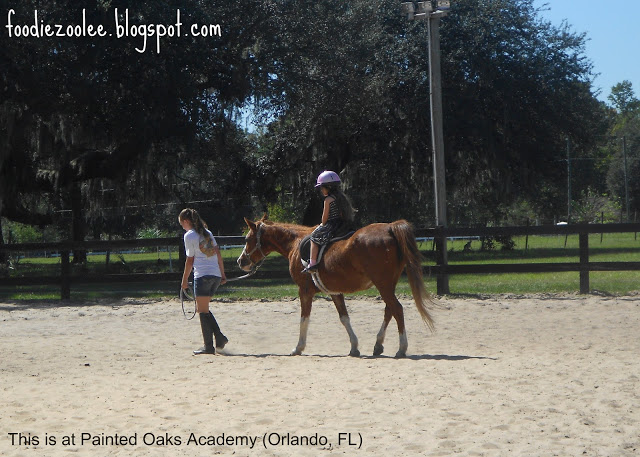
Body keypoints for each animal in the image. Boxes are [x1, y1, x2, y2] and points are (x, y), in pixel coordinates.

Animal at [238, 216, 438, 358]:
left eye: (247, 239)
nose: (241, 261)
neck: (295, 243)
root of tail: (390, 227)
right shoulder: (334, 292)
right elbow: (344, 318)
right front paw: (354, 347)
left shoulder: (305, 291)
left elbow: (304, 319)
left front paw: (298, 347)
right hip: (388, 284)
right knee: (390, 310)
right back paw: (378, 344)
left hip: (383, 284)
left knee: (397, 309)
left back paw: (401, 348)